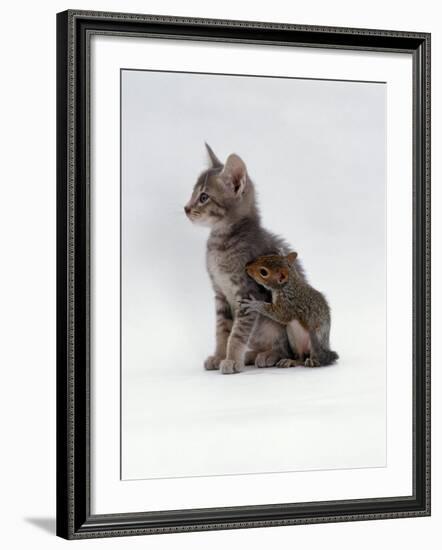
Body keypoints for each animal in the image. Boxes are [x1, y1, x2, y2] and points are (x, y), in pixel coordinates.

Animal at [184, 144, 308, 376]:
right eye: (193, 193)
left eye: (204, 197)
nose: (186, 208)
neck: (221, 242)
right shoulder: (220, 295)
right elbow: (222, 331)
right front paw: (219, 356)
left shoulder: (247, 293)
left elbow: (237, 333)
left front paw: (232, 359)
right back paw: (252, 355)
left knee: (286, 349)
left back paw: (269, 355)